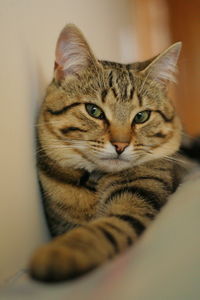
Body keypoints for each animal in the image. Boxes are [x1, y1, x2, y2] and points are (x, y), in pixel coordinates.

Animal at [28, 24, 195, 284]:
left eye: (142, 116)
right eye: (94, 110)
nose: (120, 145)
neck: (95, 182)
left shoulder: (139, 196)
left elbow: (108, 226)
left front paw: (63, 252)